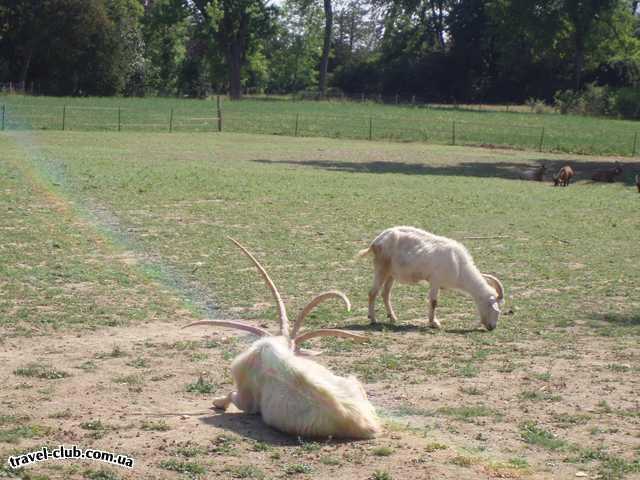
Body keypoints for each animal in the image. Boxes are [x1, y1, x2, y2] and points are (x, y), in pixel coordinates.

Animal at [358, 225, 502, 330]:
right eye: (495, 309)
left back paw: (393, 318)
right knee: (372, 292)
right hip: (381, 269)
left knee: (385, 294)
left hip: (391, 274)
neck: (458, 264)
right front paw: (434, 323)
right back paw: (373, 319)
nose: (492, 327)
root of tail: (376, 241)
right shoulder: (435, 281)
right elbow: (433, 302)